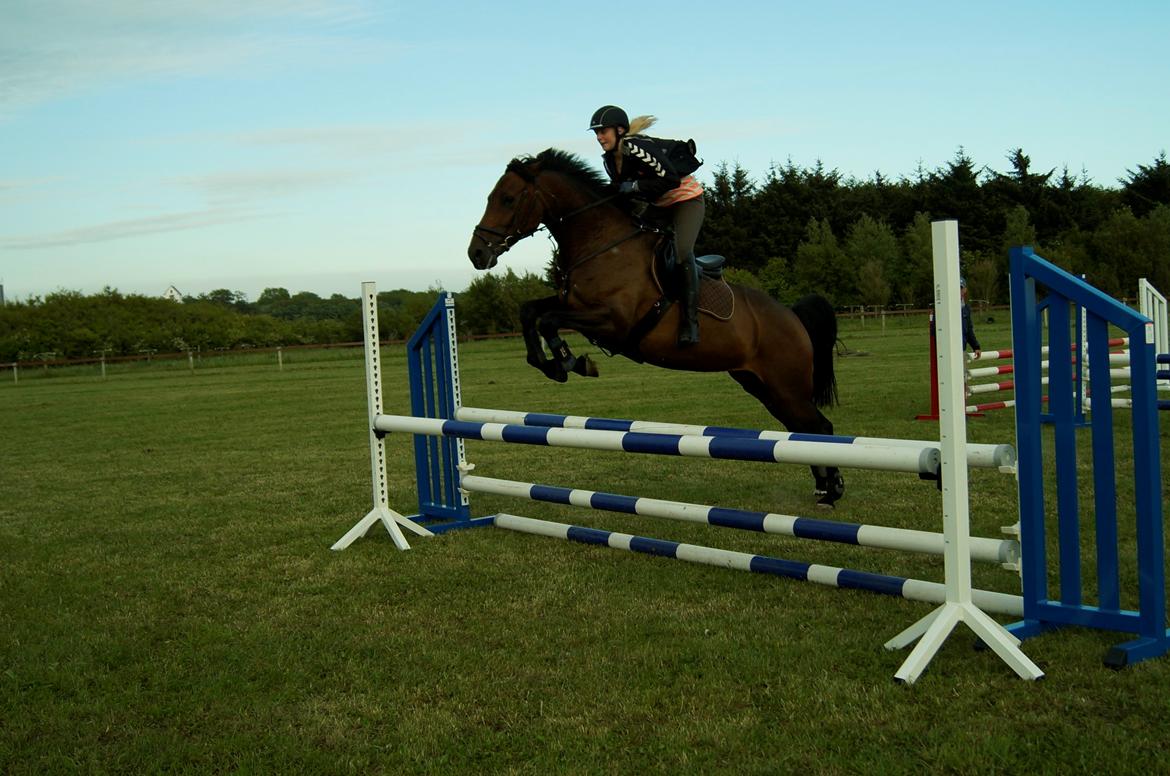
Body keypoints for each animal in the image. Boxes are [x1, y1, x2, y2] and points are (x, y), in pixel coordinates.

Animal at [463, 148, 842, 507]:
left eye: (507, 199)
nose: (476, 254)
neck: (602, 243)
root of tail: (791, 316)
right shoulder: (573, 305)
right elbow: (530, 312)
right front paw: (553, 365)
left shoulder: (613, 321)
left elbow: (548, 320)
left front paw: (571, 362)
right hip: (761, 385)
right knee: (800, 431)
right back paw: (824, 488)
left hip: (786, 385)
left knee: (818, 427)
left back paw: (832, 490)